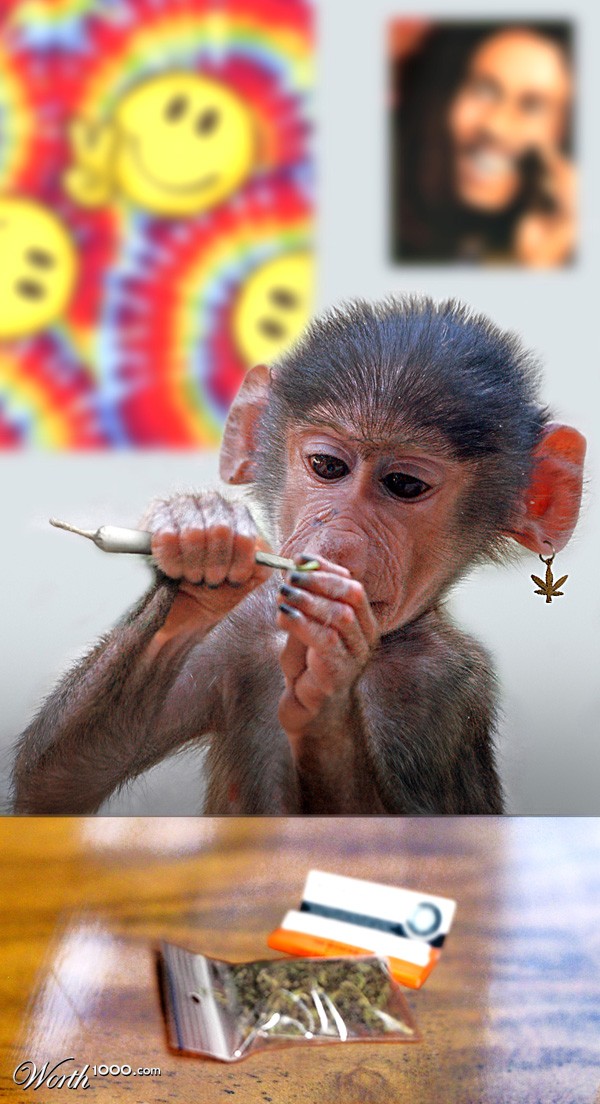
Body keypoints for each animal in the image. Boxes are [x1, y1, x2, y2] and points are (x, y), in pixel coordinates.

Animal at [12, 297, 585, 815]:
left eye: (404, 484)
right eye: (327, 466)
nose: (338, 544)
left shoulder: (445, 685)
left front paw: (327, 684)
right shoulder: (241, 630)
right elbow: (56, 781)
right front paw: (200, 537)